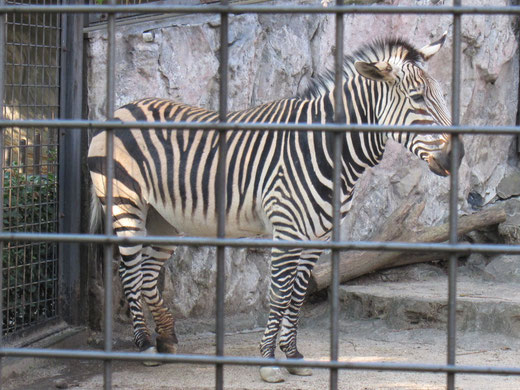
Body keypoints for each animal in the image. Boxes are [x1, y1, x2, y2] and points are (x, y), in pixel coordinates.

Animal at [88, 34, 464, 384]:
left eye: (444, 96)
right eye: (417, 99)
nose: (456, 156)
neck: (325, 148)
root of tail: (123, 107)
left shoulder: (318, 236)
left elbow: (297, 294)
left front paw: (293, 355)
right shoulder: (287, 228)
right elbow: (280, 293)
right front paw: (269, 361)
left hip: (164, 218)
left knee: (149, 273)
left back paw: (166, 339)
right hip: (125, 205)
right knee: (130, 272)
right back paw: (144, 346)